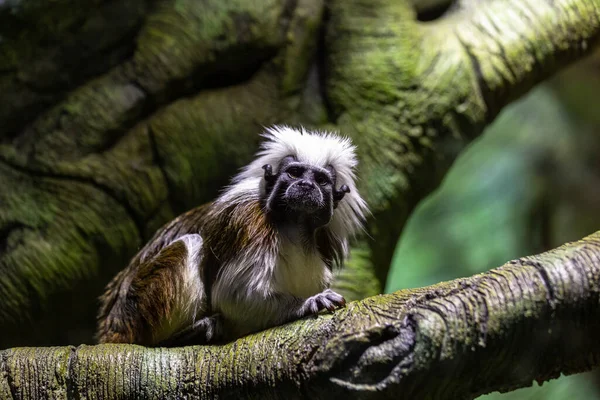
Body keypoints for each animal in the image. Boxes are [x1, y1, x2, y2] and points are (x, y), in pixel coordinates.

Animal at [96, 126, 368, 346]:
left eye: (321, 180)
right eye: (294, 173)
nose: (306, 186)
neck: (294, 227)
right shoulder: (247, 220)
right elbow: (235, 296)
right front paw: (309, 303)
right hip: (136, 311)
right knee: (190, 243)